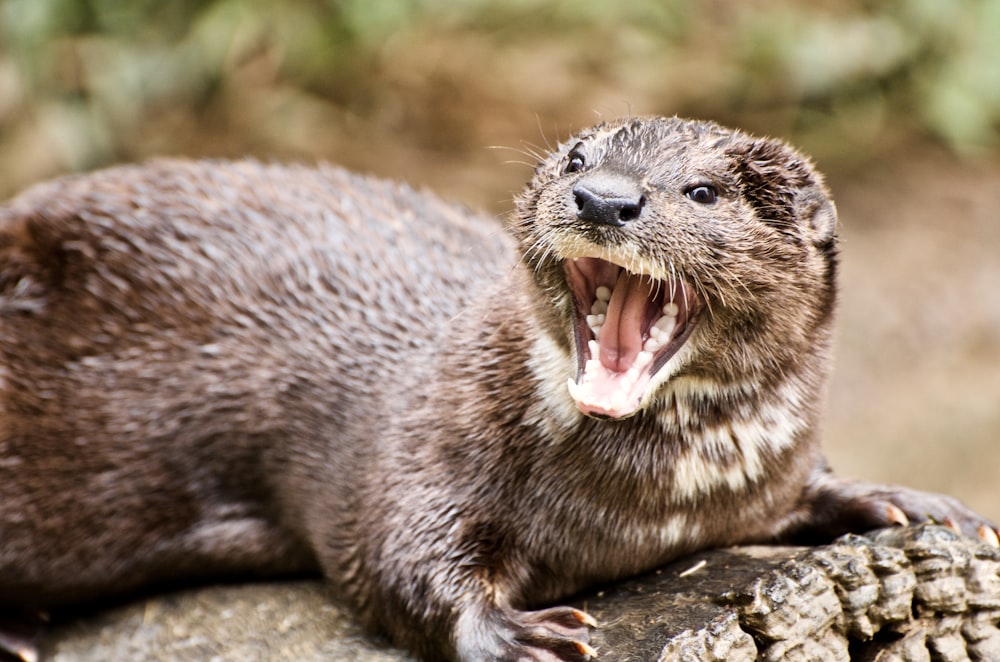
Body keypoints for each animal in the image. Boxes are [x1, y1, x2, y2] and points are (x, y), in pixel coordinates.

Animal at [0, 116, 996, 660]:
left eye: (703, 192)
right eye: (575, 160)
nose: (605, 199)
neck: (651, 506)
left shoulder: (767, 473)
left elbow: (809, 487)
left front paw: (911, 502)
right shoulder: (422, 441)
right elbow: (391, 560)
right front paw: (520, 635)